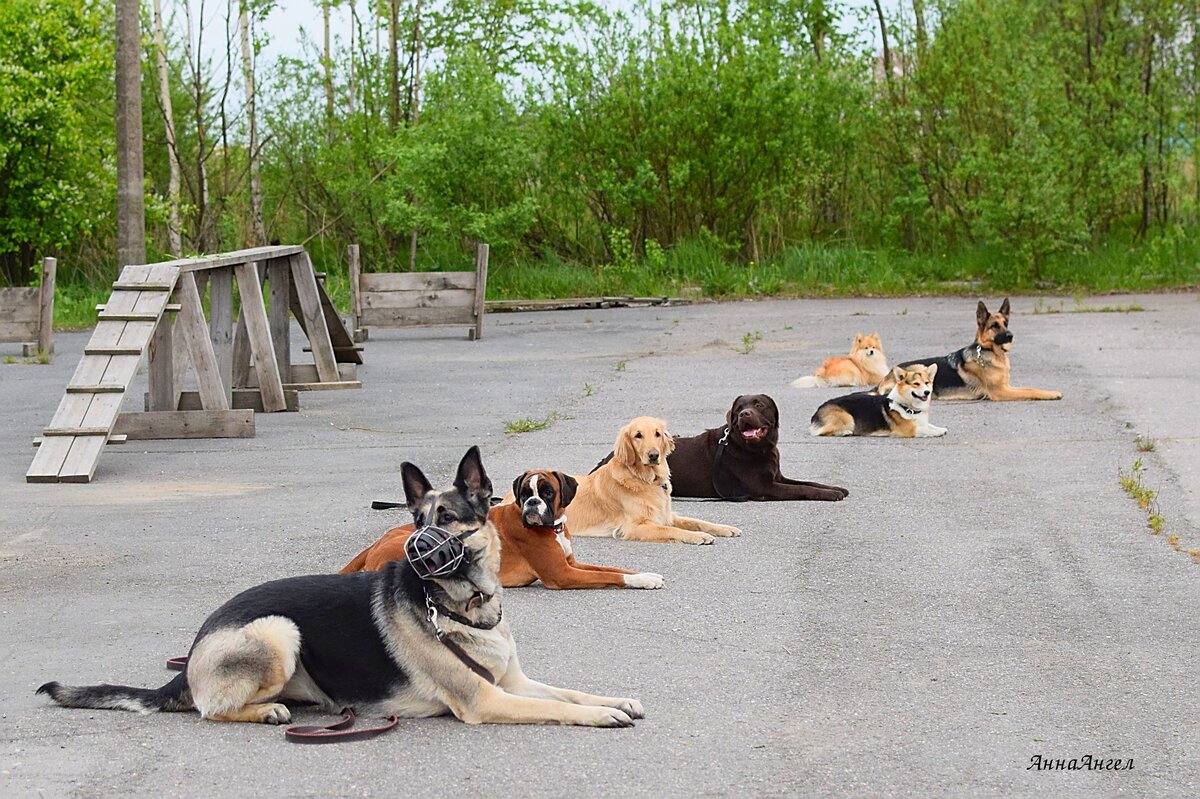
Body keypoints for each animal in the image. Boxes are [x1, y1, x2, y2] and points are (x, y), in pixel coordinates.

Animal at [672, 395, 849, 501]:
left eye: (759, 405)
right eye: (738, 409)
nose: (744, 414)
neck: (760, 448)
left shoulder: (778, 478)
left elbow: (809, 482)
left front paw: (836, 488)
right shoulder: (764, 486)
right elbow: (801, 488)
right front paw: (831, 494)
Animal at [816, 359, 945, 436]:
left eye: (927, 383)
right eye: (916, 384)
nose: (927, 392)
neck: (909, 408)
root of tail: (818, 410)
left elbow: (930, 425)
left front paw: (940, 429)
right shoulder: (910, 430)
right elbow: (926, 429)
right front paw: (936, 432)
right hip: (848, 418)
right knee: (821, 431)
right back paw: (844, 432)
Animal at [883, 297, 1060, 400]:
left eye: (1006, 323)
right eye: (994, 326)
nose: (1010, 335)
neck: (989, 351)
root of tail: (884, 379)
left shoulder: (1006, 386)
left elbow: (1029, 387)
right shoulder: (1000, 391)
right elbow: (1029, 390)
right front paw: (1051, 394)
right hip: (921, 367)